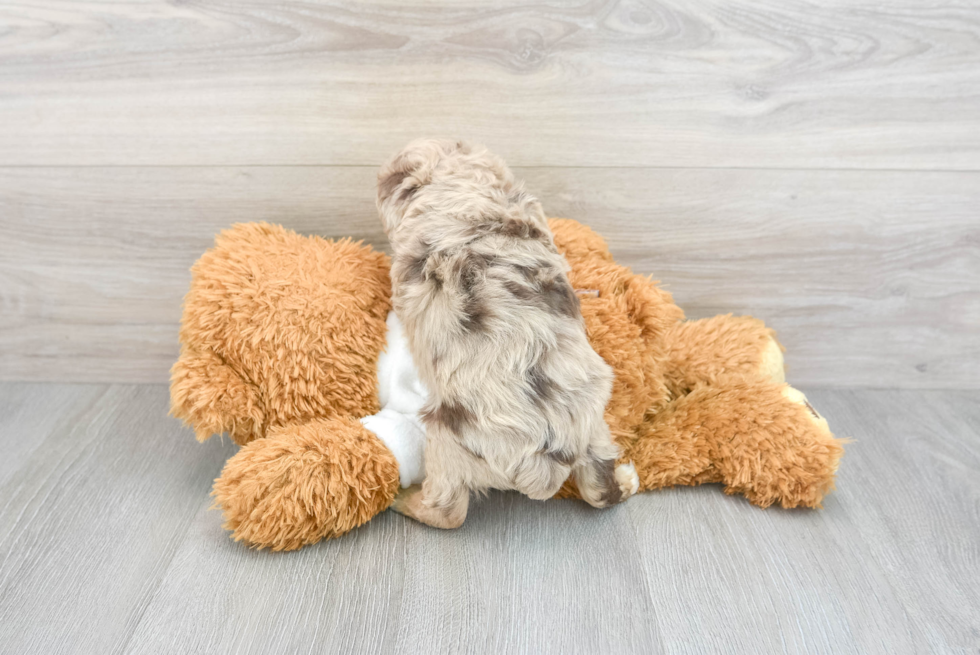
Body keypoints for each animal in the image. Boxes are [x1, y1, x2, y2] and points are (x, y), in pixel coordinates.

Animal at [378, 138, 644, 528]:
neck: (466, 189)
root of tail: (544, 461)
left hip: (447, 442)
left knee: (448, 511)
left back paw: (403, 498)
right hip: (595, 429)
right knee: (600, 489)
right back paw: (626, 480)